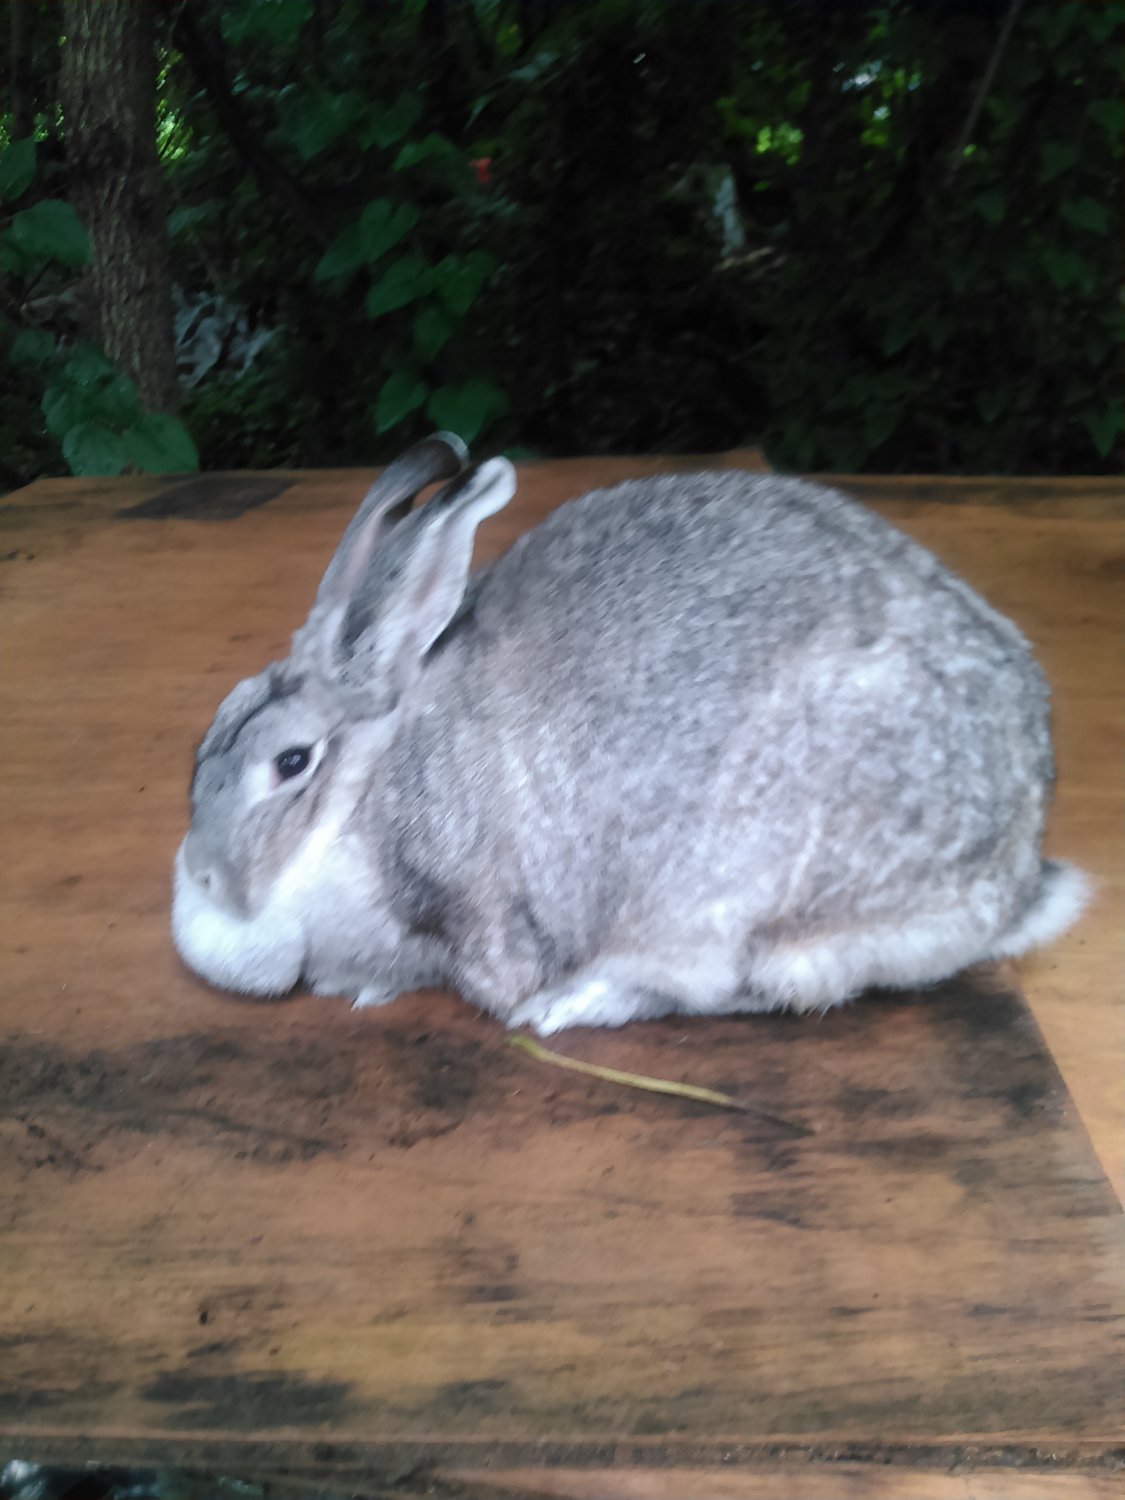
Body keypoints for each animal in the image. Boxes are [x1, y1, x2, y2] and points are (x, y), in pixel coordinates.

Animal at [176, 429, 1092, 1026]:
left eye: (290, 762)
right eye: (207, 739)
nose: (208, 878)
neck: (364, 786)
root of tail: (1012, 878)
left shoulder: (472, 915)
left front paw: (368, 987)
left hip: (734, 897)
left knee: (739, 987)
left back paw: (569, 1006)